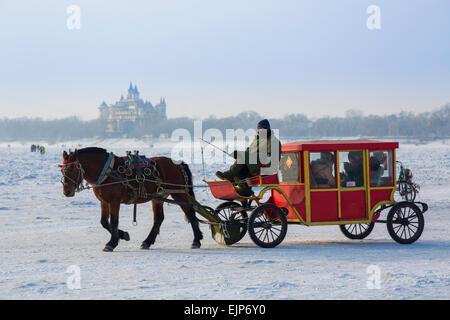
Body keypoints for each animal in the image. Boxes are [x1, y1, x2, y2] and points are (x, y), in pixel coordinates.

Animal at [59, 148, 203, 252]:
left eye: (72, 168)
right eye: (62, 170)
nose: (67, 191)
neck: (107, 172)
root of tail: (178, 163)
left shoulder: (114, 201)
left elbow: (114, 221)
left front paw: (112, 243)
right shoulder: (104, 201)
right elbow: (104, 222)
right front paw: (123, 235)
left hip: (178, 194)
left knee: (190, 213)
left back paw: (196, 240)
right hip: (158, 196)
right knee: (159, 218)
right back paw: (147, 242)